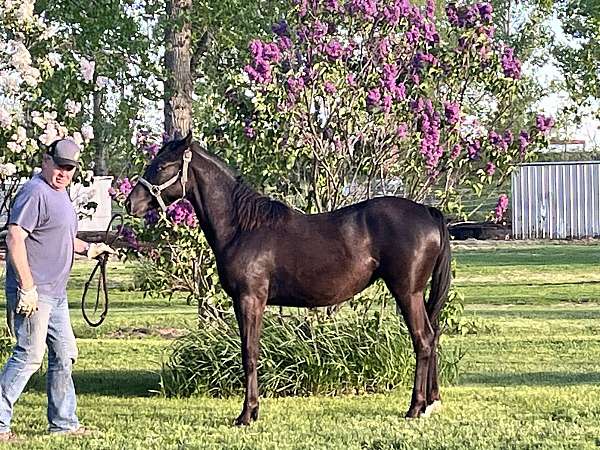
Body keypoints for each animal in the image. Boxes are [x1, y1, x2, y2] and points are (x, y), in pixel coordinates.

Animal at [125, 134, 450, 426]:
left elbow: (250, 353)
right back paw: (430, 403)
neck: (243, 227)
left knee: (423, 340)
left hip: (407, 292)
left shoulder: (250, 299)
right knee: (433, 336)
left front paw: (247, 414)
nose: (130, 204)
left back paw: (415, 407)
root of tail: (428, 212)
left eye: (162, 166)